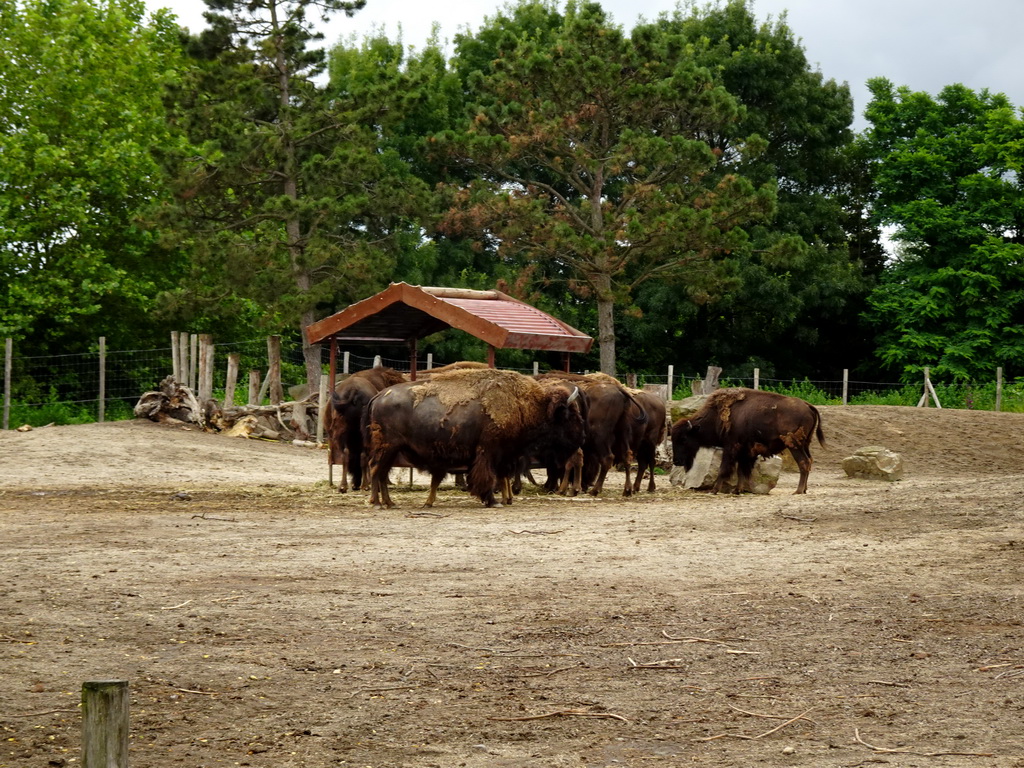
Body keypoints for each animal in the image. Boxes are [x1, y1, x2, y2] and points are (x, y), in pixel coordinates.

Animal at [364, 368, 585, 512]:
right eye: (569, 415)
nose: (582, 437)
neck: (526, 406)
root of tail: (379, 395)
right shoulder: (488, 452)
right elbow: (487, 476)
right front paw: (492, 500)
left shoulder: (503, 455)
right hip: (387, 447)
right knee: (375, 469)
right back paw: (377, 503)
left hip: (393, 450)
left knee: (381, 472)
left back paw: (390, 503)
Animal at [671, 387, 823, 495]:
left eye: (683, 439)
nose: (676, 461)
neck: (716, 417)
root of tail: (808, 405)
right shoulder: (744, 452)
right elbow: (741, 471)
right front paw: (737, 490)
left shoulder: (730, 448)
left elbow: (724, 469)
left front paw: (714, 490)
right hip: (805, 444)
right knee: (809, 461)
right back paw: (804, 489)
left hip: (794, 445)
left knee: (803, 463)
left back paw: (798, 491)